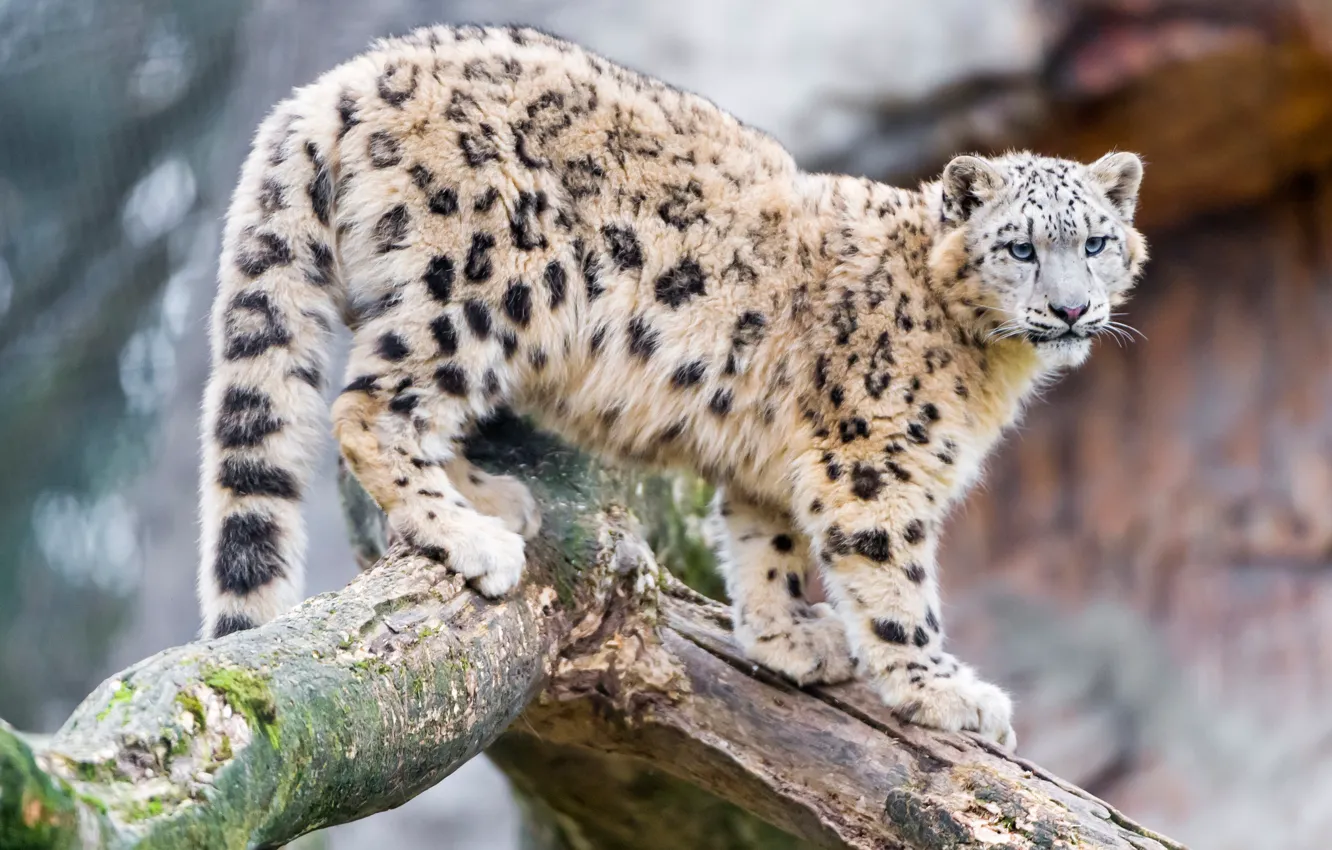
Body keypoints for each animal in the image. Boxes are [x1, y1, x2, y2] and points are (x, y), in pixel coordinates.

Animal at [198, 23, 1148, 749]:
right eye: (1020, 247)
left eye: (1097, 242)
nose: (1071, 308)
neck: (992, 369)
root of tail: (341, 81)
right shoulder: (874, 462)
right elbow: (895, 584)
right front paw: (943, 692)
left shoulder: (782, 457)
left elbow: (765, 541)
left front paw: (785, 638)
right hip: (486, 286)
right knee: (368, 406)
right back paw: (469, 537)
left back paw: (494, 499)